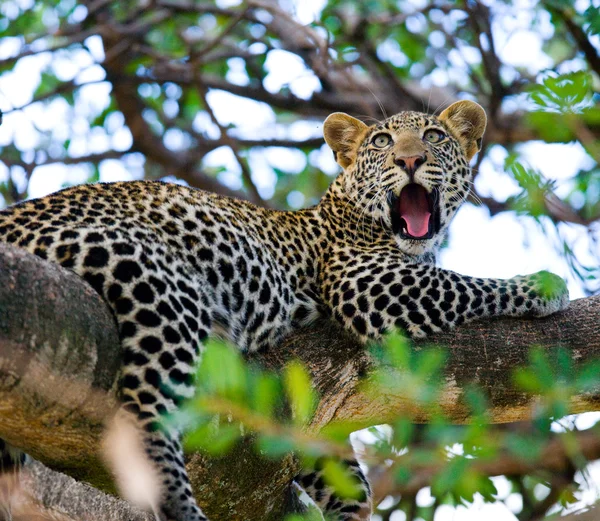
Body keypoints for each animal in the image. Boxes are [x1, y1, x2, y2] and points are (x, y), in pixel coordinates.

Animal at [0, 99, 568, 516]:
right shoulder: (369, 284)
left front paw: (348, 503)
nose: (409, 161)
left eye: (434, 137)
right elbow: (468, 283)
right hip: (152, 279)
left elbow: (337, 468)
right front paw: (543, 286)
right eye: (382, 142)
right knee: (147, 418)